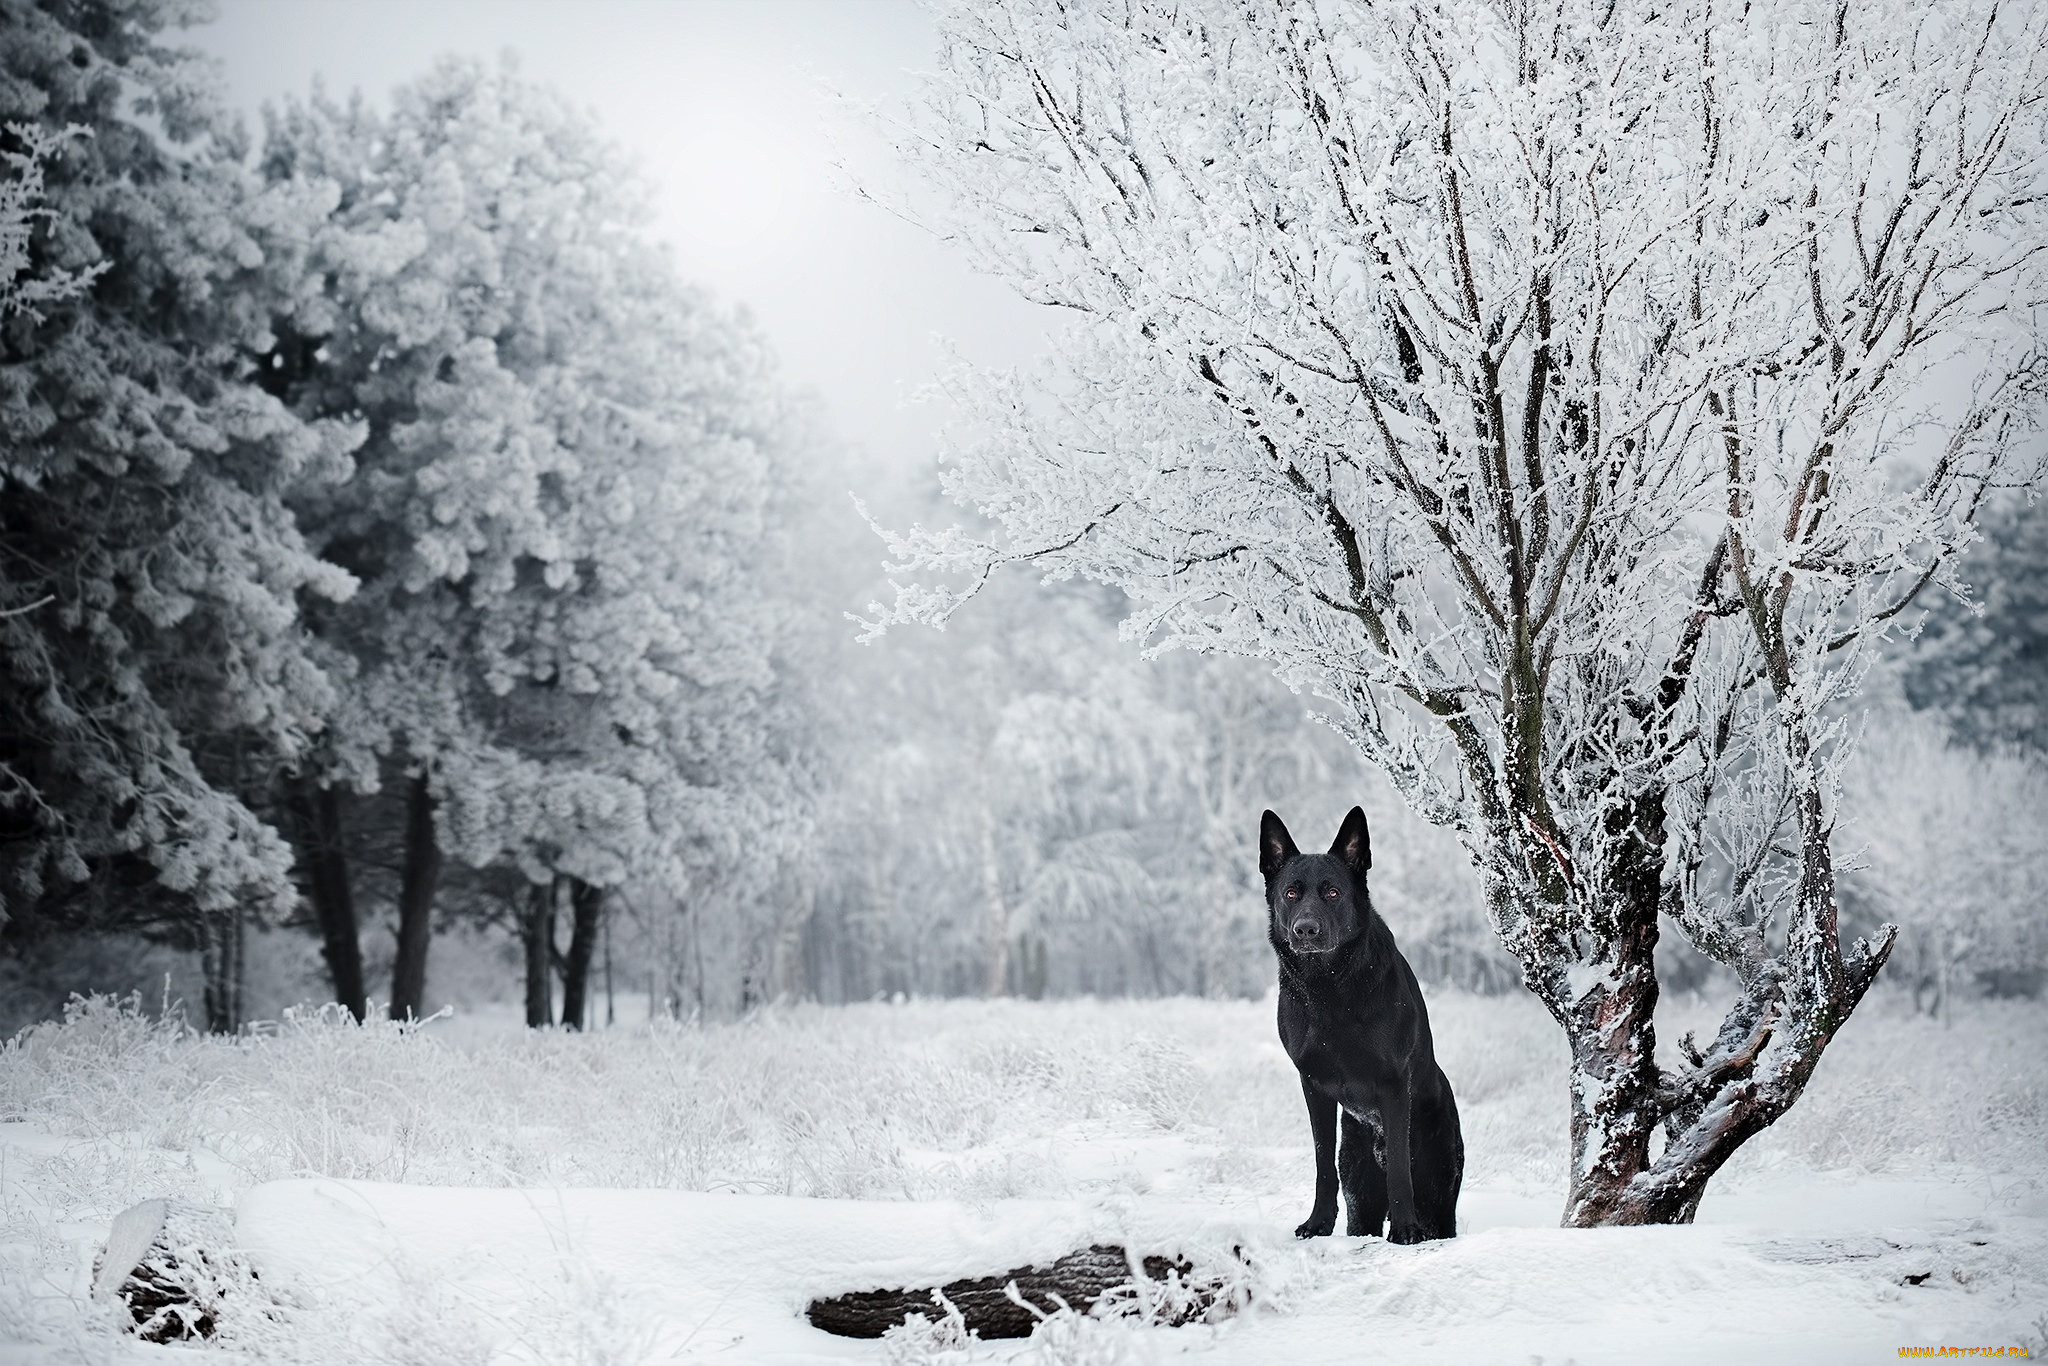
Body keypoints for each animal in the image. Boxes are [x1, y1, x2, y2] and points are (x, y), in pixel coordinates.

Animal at [1253, 806, 1466, 1245]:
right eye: (1291, 893)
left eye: (1333, 893)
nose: (1306, 930)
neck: (1329, 987)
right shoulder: (1313, 1086)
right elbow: (1322, 1165)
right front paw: (1317, 1223)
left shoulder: (1392, 1083)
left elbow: (1400, 1170)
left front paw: (1404, 1230)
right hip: (1359, 1191)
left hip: (1439, 1197)